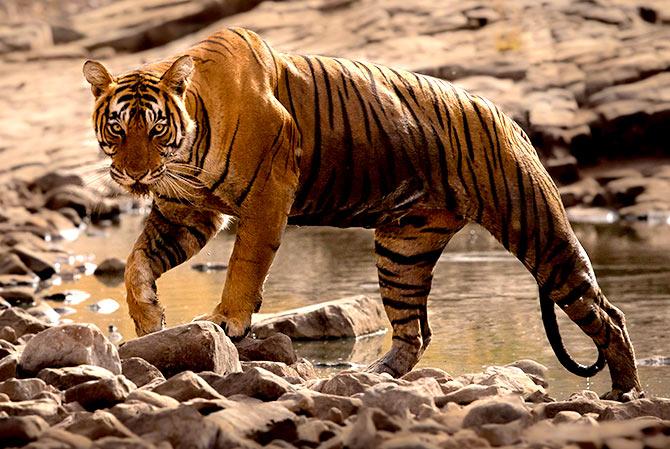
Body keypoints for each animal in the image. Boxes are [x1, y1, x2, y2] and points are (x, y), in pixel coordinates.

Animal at [84, 27, 644, 400]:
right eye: (118, 127)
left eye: (156, 127)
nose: (134, 174)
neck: (185, 154)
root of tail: (508, 116)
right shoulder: (185, 211)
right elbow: (136, 264)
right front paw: (149, 318)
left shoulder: (267, 195)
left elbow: (244, 265)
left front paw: (225, 322)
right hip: (402, 249)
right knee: (414, 331)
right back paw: (371, 377)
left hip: (536, 230)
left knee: (607, 315)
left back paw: (625, 393)